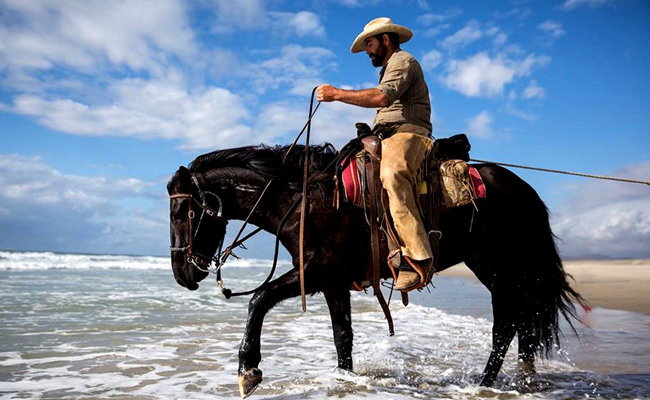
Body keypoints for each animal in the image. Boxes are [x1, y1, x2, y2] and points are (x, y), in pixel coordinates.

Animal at [166, 142, 584, 398]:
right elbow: (342, 337)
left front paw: (248, 371)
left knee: (505, 326)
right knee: (521, 323)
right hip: (504, 270)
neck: (304, 199)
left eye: (181, 212)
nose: (182, 275)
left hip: (501, 269)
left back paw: (485, 384)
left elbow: (259, 300)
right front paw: (345, 380)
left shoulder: (314, 273)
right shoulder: (332, 283)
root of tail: (525, 190)